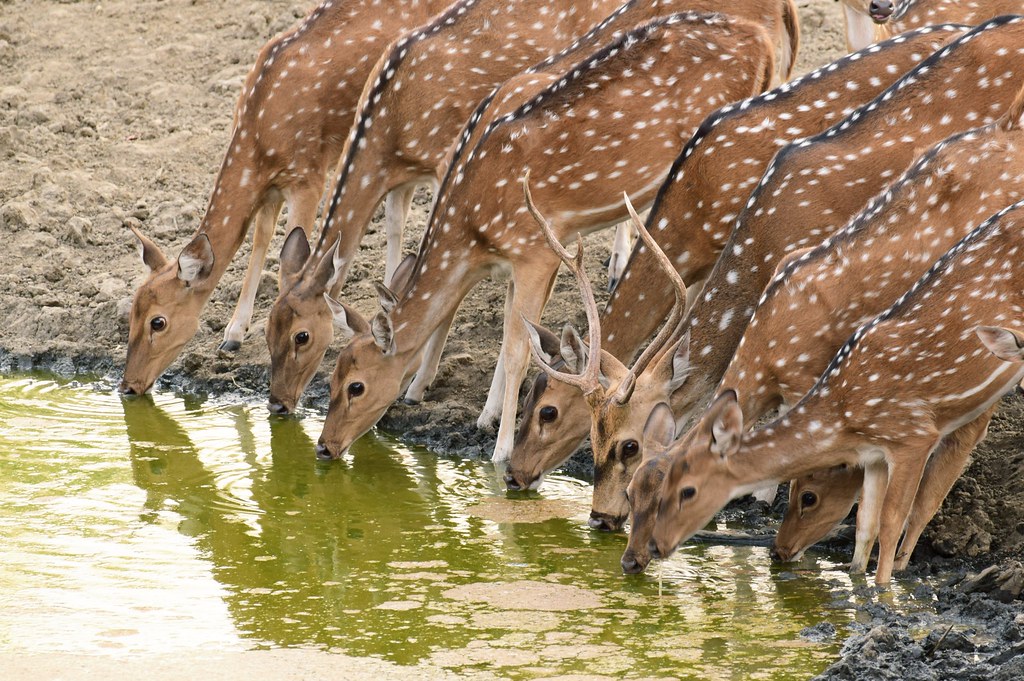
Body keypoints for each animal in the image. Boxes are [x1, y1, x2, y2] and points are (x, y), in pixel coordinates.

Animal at [117, 0, 452, 393]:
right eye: (132, 310)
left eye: (158, 321)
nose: (128, 385)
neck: (260, 132)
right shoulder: (270, 188)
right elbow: (260, 240)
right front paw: (233, 334)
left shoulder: (307, 175)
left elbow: (289, 252)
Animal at [258, 0, 798, 413]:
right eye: (269, 330)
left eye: (302, 337)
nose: (279, 405)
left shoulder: (530, 242)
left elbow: (513, 339)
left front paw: (471, 418)